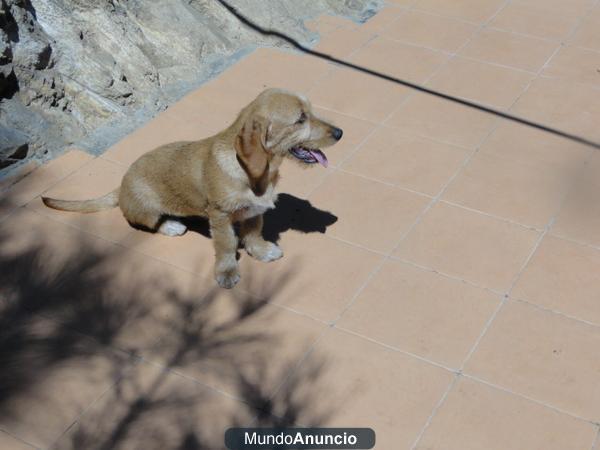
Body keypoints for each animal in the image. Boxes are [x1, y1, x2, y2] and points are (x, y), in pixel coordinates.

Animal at [42, 89, 342, 288]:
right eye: (300, 119)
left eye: (310, 112)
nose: (340, 133)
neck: (255, 172)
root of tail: (120, 187)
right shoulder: (220, 215)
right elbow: (226, 244)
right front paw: (226, 272)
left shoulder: (253, 211)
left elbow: (254, 233)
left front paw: (261, 251)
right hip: (147, 208)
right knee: (141, 221)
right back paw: (170, 225)